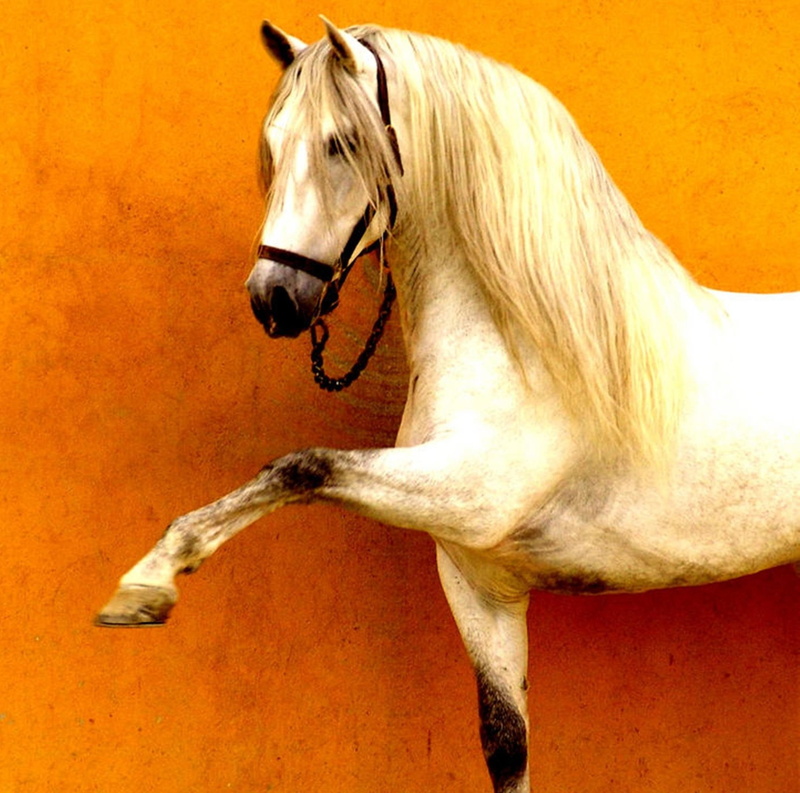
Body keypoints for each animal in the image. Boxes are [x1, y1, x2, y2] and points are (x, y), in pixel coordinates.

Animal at [96, 20, 800, 793]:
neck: (527, 339)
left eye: (342, 142)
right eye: (274, 144)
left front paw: (148, 580)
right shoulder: (478, 582)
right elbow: (506, 742)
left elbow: (302, 466)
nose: (274, 299)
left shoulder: (472, 493)